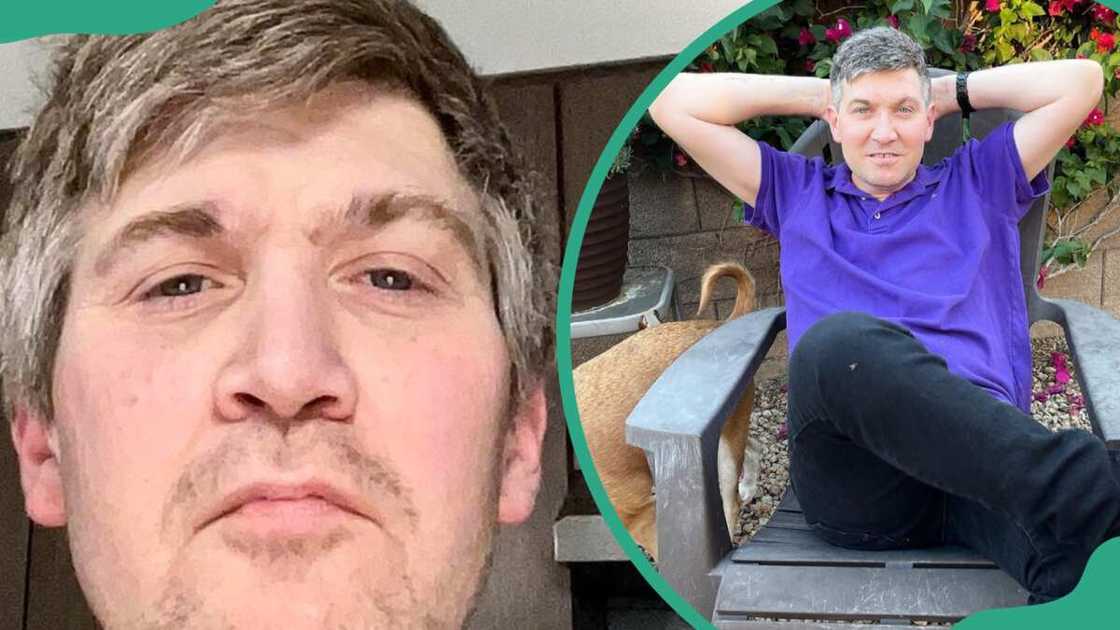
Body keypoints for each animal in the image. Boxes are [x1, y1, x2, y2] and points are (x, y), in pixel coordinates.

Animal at [573, 260, 757, 558]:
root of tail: (719, 325)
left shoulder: (639, 517)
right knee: (754, 445)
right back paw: (749, 488)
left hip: (723, 455)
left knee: (729, 506)